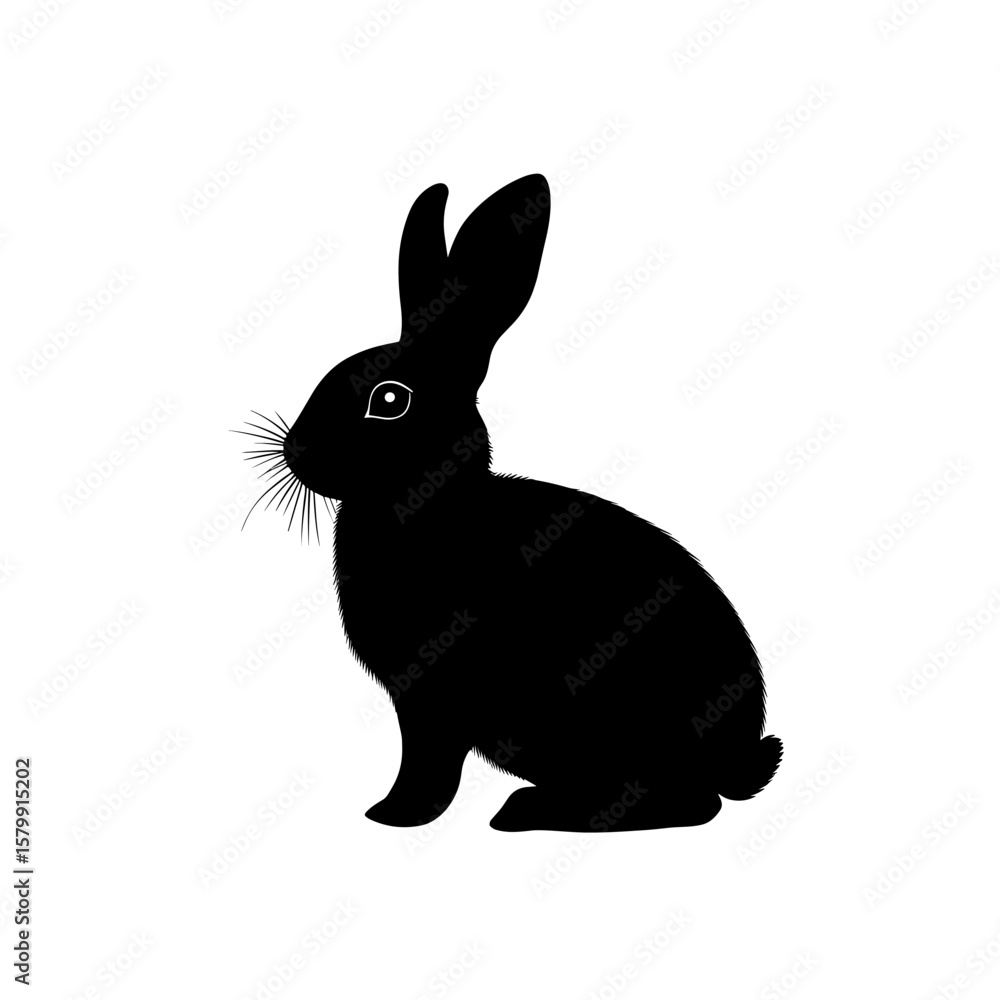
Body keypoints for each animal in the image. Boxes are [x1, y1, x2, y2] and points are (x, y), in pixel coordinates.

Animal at [241, 174, 782, 832]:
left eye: (389, 400)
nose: (297, 449)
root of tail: (735, 755)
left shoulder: (435, 700)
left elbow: (429, 764)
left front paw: (395, 816)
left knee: (687, 805)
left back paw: (529, 812)